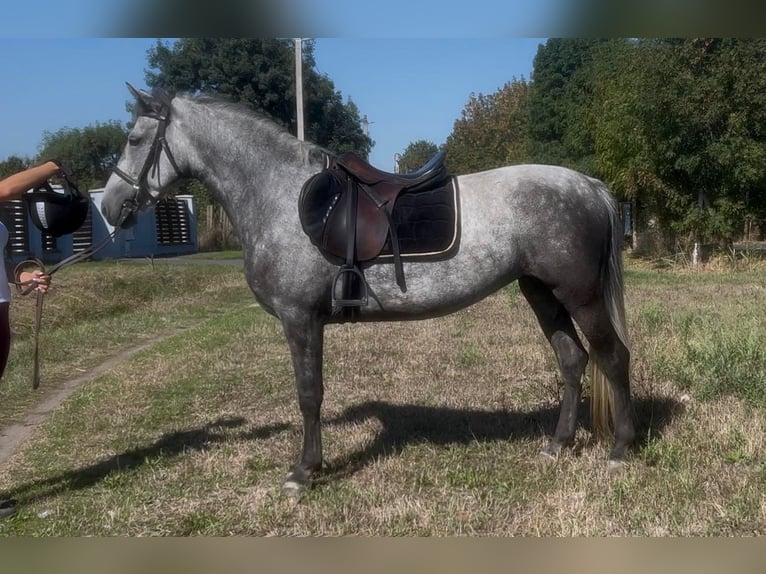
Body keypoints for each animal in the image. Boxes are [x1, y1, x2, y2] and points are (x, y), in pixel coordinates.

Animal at [103, 86, 640, 500]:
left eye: (134, 139)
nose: (110, 207)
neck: (279, 195)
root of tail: (589, 186)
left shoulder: (300, 318)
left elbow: (309, 394)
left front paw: (303, 472)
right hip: (541, 292)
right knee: (572, 359)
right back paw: (557, 445)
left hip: (579, 294)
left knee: (613, 357)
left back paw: (619, 451)